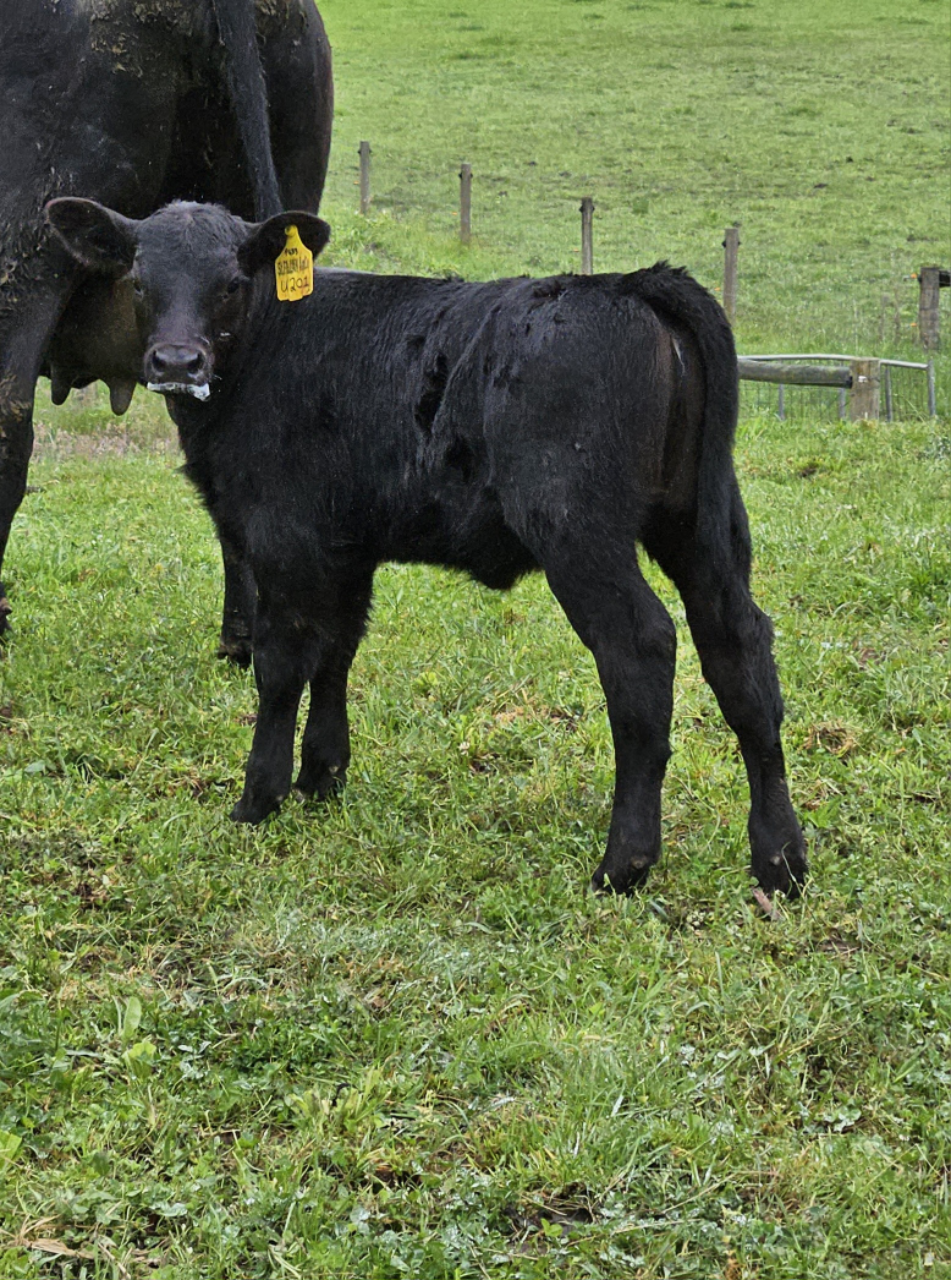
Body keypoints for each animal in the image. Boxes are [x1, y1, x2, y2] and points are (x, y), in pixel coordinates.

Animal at [45, 196, 808, 898]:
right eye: (138, 280)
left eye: (232, 281)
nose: (177, 361)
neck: (272, 340)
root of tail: (629, 283)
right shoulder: (345, 546)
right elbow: (338, 651)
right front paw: (323, 776)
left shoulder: (281, 539)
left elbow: (282, 666)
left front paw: (259, 797)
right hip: (703, 525)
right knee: (739, 649)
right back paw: (779, 860)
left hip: (577, 529)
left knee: (641, 651)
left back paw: (623, 865)